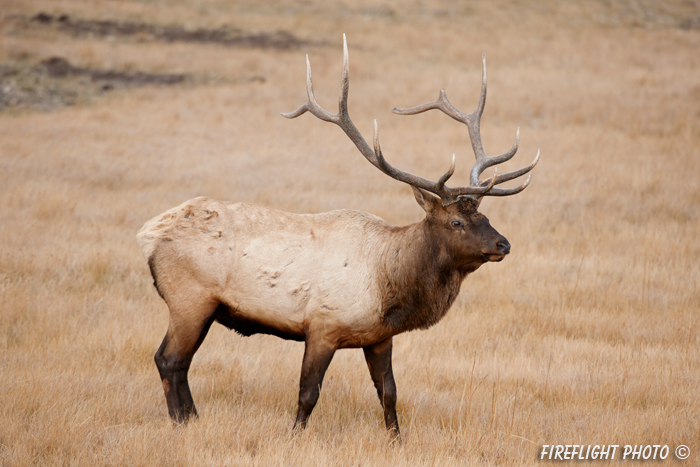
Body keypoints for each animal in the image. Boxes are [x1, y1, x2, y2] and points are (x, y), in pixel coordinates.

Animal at [138, 34, 540, 436]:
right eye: (456, 222)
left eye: (484, 215)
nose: (503, 244)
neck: (389, 285)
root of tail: (148, 234)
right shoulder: (322, 326)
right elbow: (307, 393)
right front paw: (294, 436)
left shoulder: (379, 337)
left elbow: (389, 392)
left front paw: (396, 439)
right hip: (189, 299)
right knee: (169, 359)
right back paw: (182, 421)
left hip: (202, 307)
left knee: (180, 361)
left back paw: (192, 418)